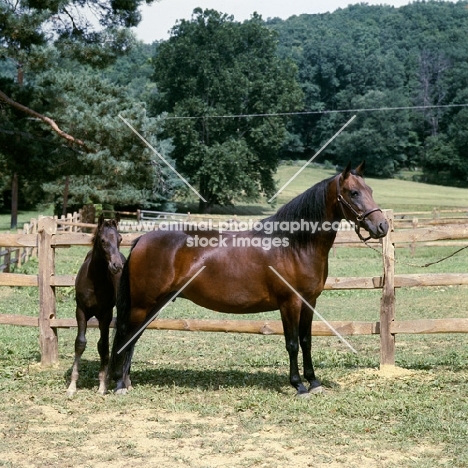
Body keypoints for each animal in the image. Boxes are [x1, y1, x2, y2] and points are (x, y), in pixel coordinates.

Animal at [66, 214, 127, 396]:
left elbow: (103, 346)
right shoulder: (80, 311)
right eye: (102, 240)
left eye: (120, 239)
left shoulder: (105, 315)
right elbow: (80, 343)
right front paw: (72, 386)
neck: (95, 281)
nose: (116, 266)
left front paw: (102, 385)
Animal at [109, 163, 388, 396]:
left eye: (371, 189)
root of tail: (141, 240)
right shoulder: (289, 303)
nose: (382, 226)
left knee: (133, 338)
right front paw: (298, 385)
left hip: (153, 305)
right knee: (125, 336)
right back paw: (121, 384)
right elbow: (292, 344)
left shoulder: (309, 303)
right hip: (143, 304)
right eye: (353, 193)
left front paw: (314, 383)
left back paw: (127, 382)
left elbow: (307, 342)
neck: (293, 245)